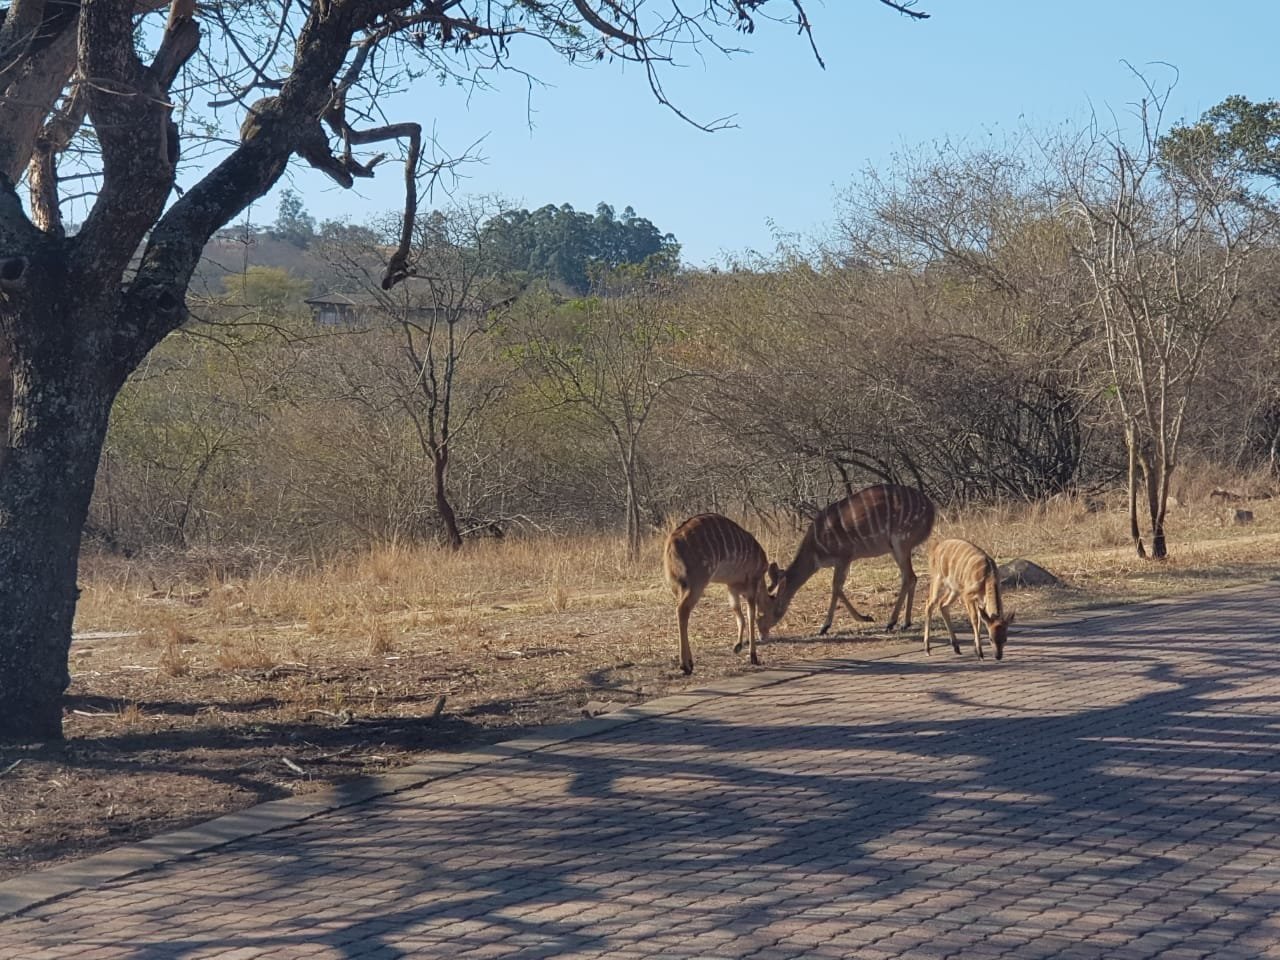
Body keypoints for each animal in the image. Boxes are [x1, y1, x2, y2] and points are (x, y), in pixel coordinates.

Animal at [665, 519, 773, 675]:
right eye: (772, 614)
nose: (765, 636)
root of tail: (672, 543)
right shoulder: (752, 584)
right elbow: (750, 615)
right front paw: (753, 657)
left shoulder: (731, 586)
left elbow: (737, 611)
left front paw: (738, 646)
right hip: (697, 583)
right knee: (682, 610)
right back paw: (685, 665)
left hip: (678, 587)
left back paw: (689, 663)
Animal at [752, 483, 936, 642]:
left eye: (765, 609)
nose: (761, 633)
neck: (815, 550)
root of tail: (931, 510)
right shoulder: (844, 560)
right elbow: (838, 587)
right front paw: (863, 618)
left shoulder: (844, 556)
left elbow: (836, 587)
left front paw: (828, 626)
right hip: (896, 547)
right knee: (911, 577)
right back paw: (905, 623)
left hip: (900, 541)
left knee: (909, 577)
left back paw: (891, 623)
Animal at [926, 537, 1013, 665]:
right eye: (990, 639)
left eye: (1005, 639)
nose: (998, 656)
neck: (988, 576)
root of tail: (936, 547)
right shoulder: (968, 595)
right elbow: (975, 619)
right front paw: (980, 653)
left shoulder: (982, 599)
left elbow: (981, 619)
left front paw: (976, 651)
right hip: (937, 579)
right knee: (929, 604)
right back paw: (927, 649)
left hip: (954, 588)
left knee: (943, 605)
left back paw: (956, 647)